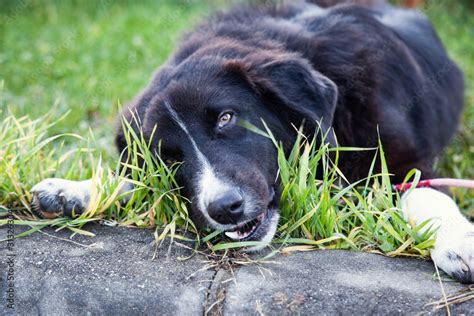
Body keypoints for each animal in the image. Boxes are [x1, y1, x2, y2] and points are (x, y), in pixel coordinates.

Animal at [31, 1, 472, 282]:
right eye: (169, 157)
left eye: (226, 118)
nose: (224, 208)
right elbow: (135, 179)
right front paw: (74, 189)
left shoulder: (403, 160)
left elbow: (426, 194)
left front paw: (457, 241)